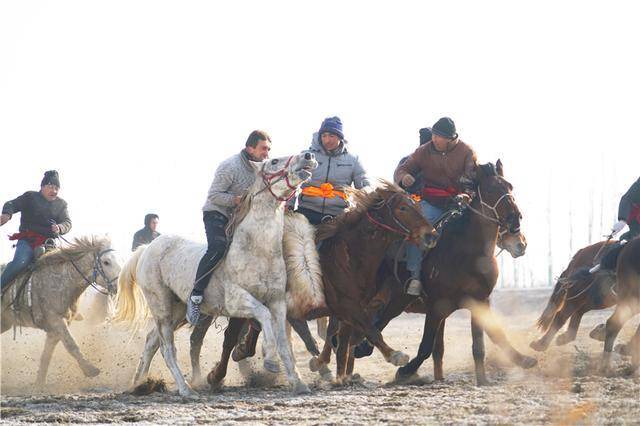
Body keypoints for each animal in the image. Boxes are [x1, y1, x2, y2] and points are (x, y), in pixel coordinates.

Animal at [114, 152, 318, 396]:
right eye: (274, 161)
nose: (308, 156)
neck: (259, 250)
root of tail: (147, 249)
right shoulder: (237, 301)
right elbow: (264, 316)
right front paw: (269, 361)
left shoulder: (277, 302)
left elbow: (284, 343)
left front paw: (299, 383)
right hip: (161, 306)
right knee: (166, 347)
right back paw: (185, 389)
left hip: (178, 309)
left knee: (151, 341)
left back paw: (139, 383)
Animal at [205, 183, 440, 386]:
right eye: (402, 208)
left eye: (417, 206)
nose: (431, 235)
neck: (349, 257)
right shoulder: (348, 305)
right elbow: (369, 330)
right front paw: (395, 355)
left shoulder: (348, 308)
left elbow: (339, 337)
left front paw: (332, 370)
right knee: (230, 337)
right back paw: (216, 376)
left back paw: (243, 353)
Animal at [362, 161, 536, 386]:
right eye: (490, 190)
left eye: (509, 186)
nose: (516, 221)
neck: (467, 253)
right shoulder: (437, 307)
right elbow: (427, 347)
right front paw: (405, 371)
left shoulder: (479, 301)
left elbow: (487, 339)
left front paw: (510, 366)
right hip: (392, 301)